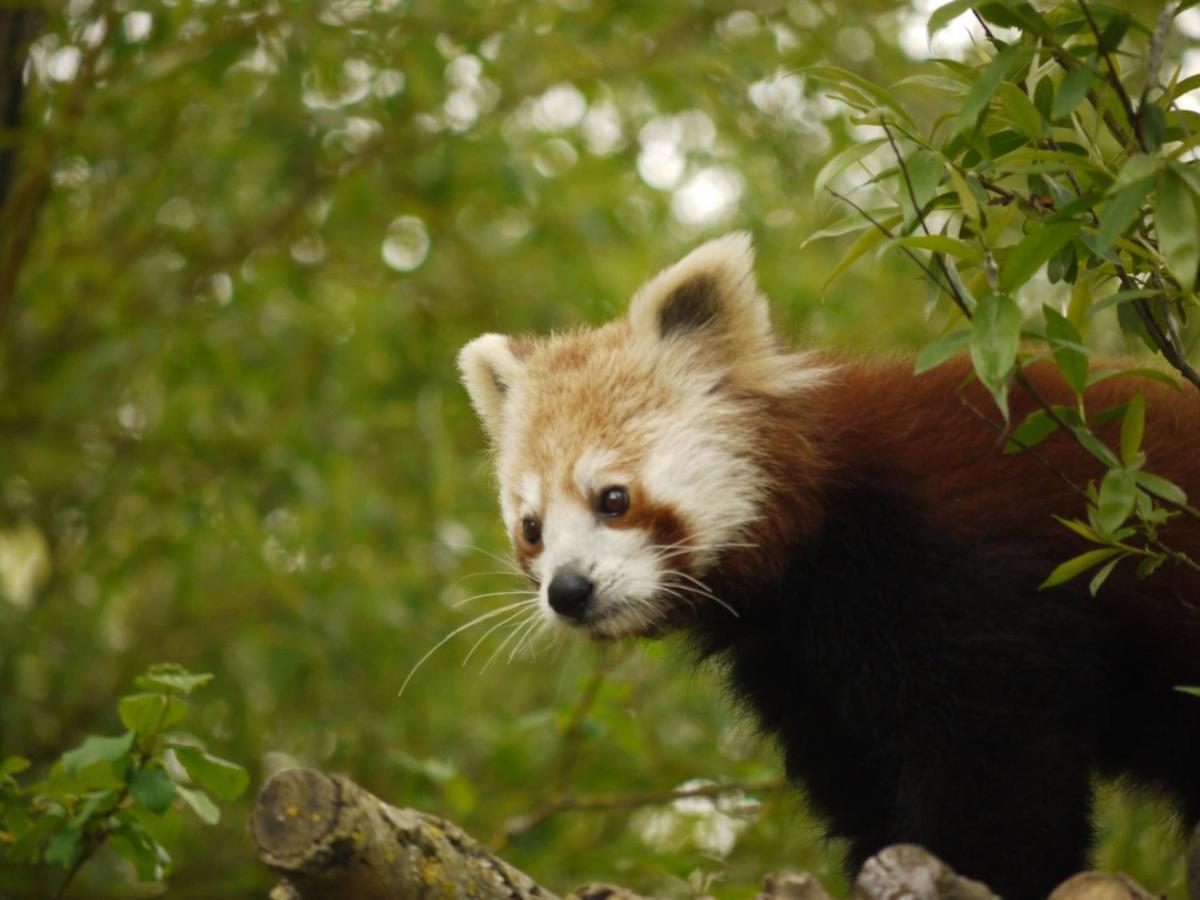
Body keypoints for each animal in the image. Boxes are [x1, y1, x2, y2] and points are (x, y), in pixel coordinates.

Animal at [453, 234, 1195, 900]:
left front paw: (982, 874)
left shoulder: (972, 576)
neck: (822, 536)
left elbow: (996, 773)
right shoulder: (804, 672)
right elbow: (866, 789)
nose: (568, 591)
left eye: (613, 499)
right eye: (531, 530)